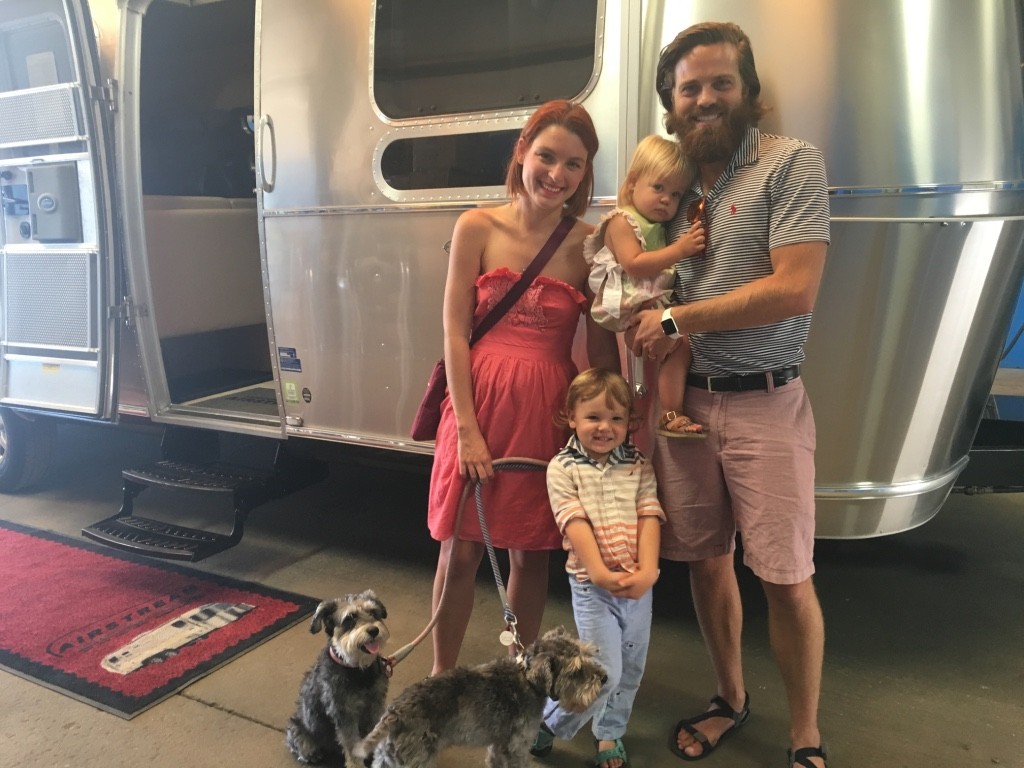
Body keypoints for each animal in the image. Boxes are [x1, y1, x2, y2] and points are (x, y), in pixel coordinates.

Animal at [286, 590, 391, 765]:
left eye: (373, 612)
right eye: (349, 618)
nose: (373, 630)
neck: (357, 670)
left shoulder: (376, 704)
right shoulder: (343, 713)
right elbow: (351, 744)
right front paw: (356, 764)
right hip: (296, 729)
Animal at [356, 626, 606, 768]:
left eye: (588, 654)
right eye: (576, 671)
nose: (604, 678)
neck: (527, 678)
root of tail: (395, 713)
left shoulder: (498, 747)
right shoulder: (517, 747)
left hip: (387, 758)